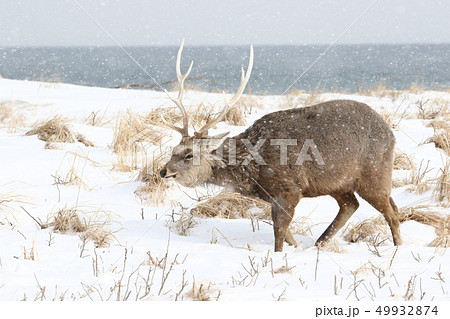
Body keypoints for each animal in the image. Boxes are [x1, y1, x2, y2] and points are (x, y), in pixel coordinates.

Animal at [158, 42, 400, 252]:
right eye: (173, 150)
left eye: (189, 155)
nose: (163, 171)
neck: (252, 169)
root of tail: (390, 133)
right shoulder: (271, 195)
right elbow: (286, 234)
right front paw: (297, 248)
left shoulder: (290, 188)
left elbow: (279, 233)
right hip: (339, 183)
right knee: (352, 205)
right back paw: (319, 244)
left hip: (375, 173)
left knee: (391, 211)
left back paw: (398, 248)